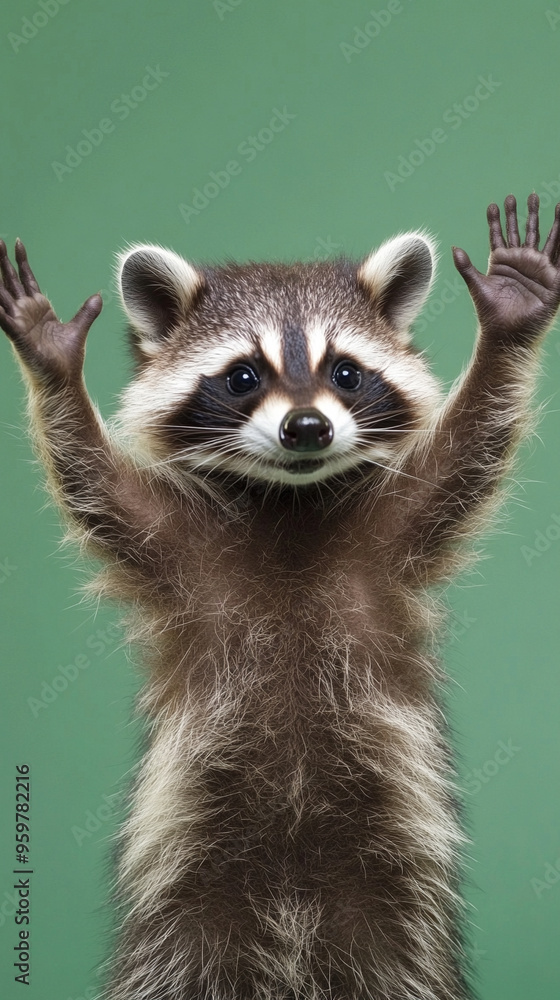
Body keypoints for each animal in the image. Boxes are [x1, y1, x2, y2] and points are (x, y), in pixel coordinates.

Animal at [1, 193, 559, 1000]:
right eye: (243, 377)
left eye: (346, 372)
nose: (308, 427)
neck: (289, 499)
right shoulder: (177, 546)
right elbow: (92, 482)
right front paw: (51, 365)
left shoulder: (393, 531)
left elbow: (471, 448)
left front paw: (511, 321)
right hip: (188, 893)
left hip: (395, 895)